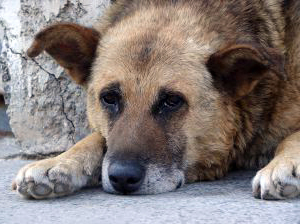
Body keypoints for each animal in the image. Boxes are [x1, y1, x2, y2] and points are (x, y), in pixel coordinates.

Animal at [12, 0, 300, 200]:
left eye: (172, 101)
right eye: (109, 98)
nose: (122, 178)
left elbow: (292, 137)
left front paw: (284, 165)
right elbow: (97, 138)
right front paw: (59, 162)